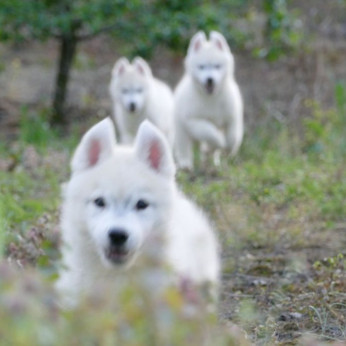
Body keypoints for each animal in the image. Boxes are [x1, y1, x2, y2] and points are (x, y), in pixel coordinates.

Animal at [173, 31, 243, 170]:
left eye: (217, 66)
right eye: (201, 67)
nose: (210, 79)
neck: (212, 98)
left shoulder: (232, 116)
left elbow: (233, 137)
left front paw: (228, 149)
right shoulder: (194, 120)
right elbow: (210, 133)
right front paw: (220, 141)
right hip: (181, 129)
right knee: (184, 146)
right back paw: (185, 164)